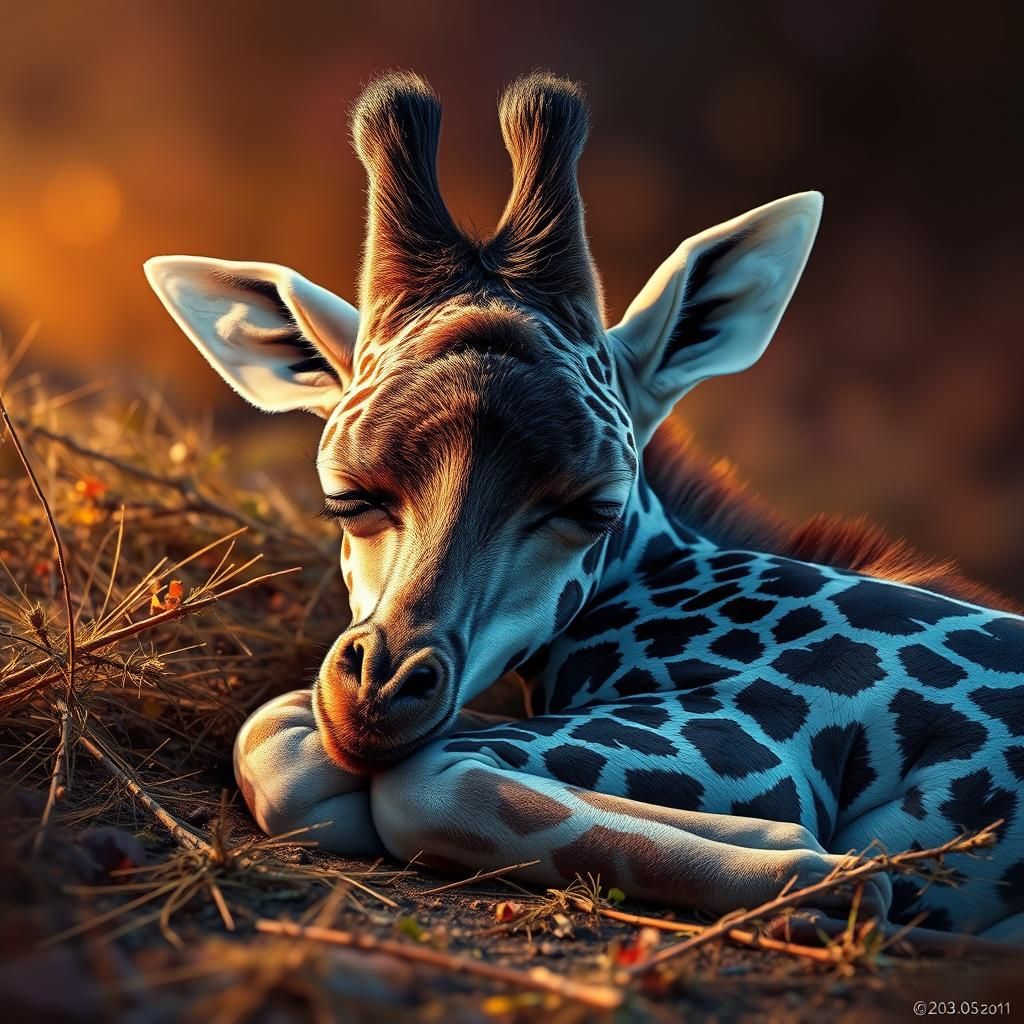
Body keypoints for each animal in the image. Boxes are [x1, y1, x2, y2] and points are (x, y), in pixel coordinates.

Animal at [145, 73, 1024, 939]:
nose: (376, 702)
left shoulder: (766, 734)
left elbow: (402, 776)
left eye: (598, 504)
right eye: (344, 494)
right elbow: (288, 736)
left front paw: (824, 875)